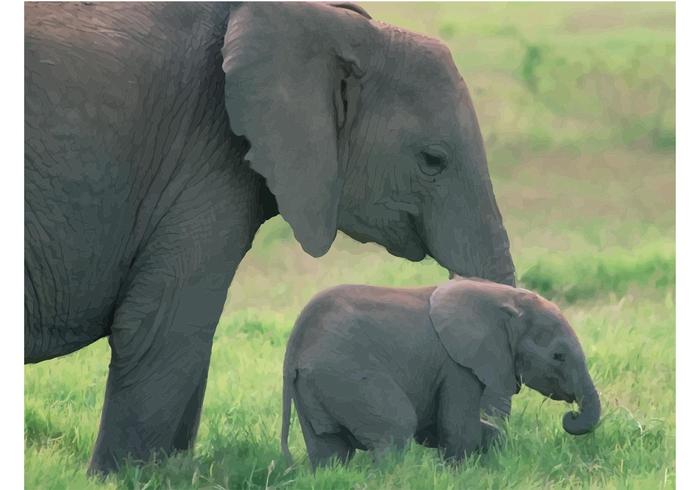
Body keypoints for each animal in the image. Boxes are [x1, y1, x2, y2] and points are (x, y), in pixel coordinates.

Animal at [23, 0, 516, 474]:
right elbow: (165, 328)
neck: (335, 24)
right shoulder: (203, 160)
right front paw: (120, 477)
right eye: (433, 160)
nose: (486, 445)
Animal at [282, 280, 600, 468]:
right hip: (346, 374)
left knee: (328, 450)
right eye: (558, 356)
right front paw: (458, 474)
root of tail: (295, 344)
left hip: (315, 386)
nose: (571, 415)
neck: (505, 300)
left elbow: (449, 429)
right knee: (395, 429)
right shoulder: (457, 366)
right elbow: (457, 428)